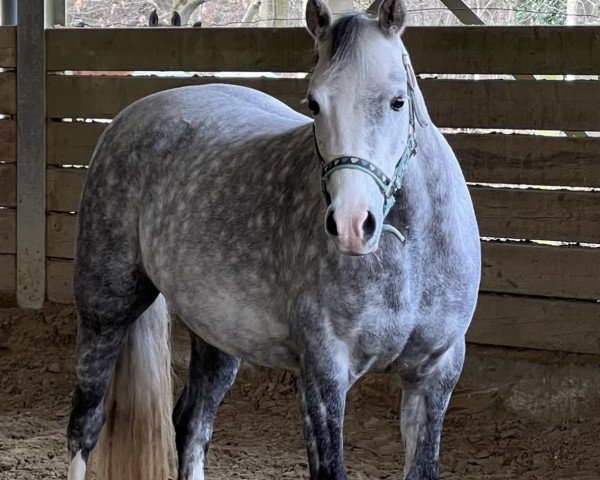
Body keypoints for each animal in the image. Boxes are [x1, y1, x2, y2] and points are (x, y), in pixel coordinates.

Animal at [65, 0, 480, 478]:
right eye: (314, 103)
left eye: (398, 101)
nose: (352, 224)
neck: (409, 254)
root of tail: (133, 114)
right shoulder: (323, 373)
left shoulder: (435, 374)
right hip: (105, 310)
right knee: (86, 424)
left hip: (216, 336)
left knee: (191, 422)